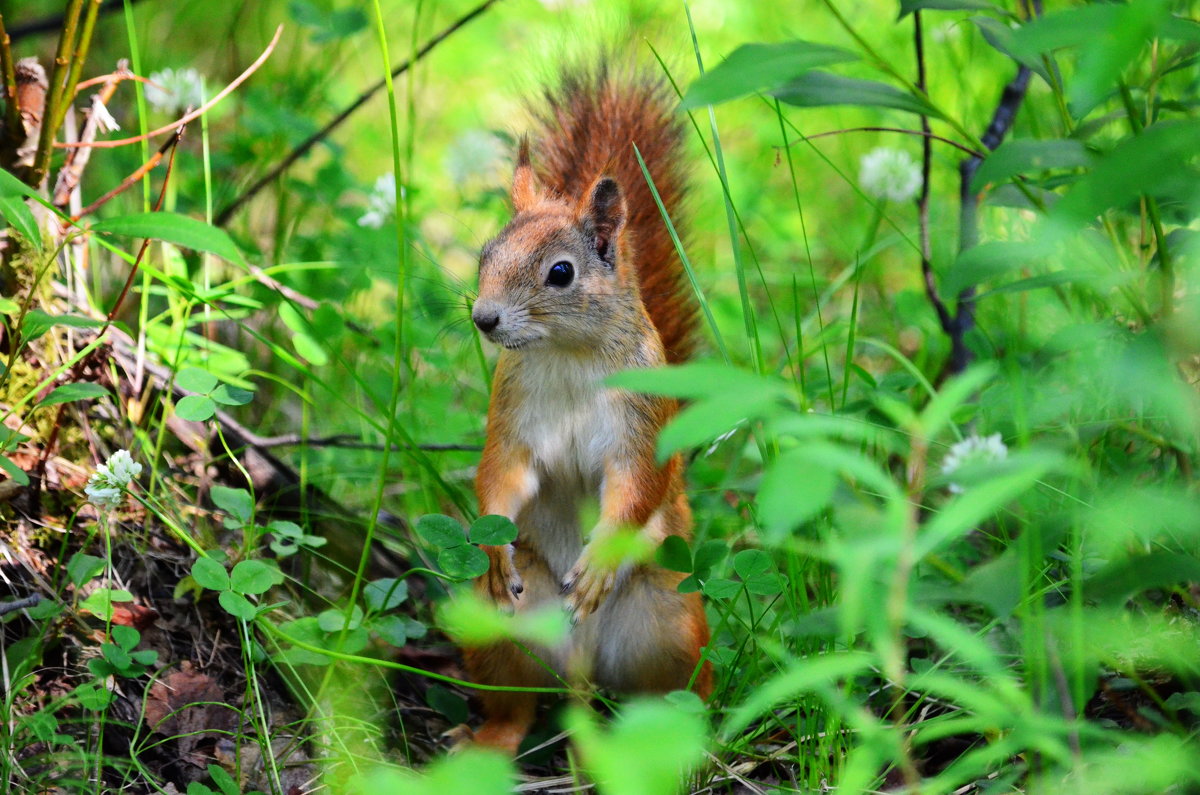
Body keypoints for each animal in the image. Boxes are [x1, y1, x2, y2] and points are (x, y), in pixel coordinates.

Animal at [460, 65, 705, 758]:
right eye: (485, 255)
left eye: (562, 273)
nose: (484, 319)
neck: (567, 355)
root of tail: (580, 665)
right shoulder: (512, 415)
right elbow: (501, 474)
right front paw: (495, 548)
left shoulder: (640, 421)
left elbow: (636, 486)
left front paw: (596, 563)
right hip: (493, 628)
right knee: (515, 704)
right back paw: (490, 738)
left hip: (672, 622)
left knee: (670, 697)